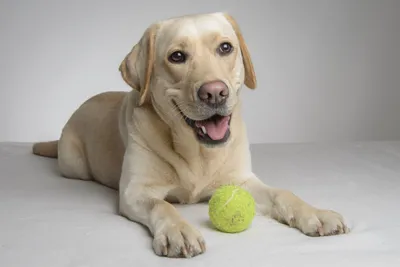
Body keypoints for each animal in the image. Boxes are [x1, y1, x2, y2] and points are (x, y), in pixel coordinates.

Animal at [32, 12, 348, 260]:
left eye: (225, 47)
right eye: (177, 56)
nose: (215, 92)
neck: (198, 152)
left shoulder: (242, 181)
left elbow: (283, 192)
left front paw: (315, 213)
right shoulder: (136, 191)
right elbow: (161, 204)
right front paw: (179, 231)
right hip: (75, 166)